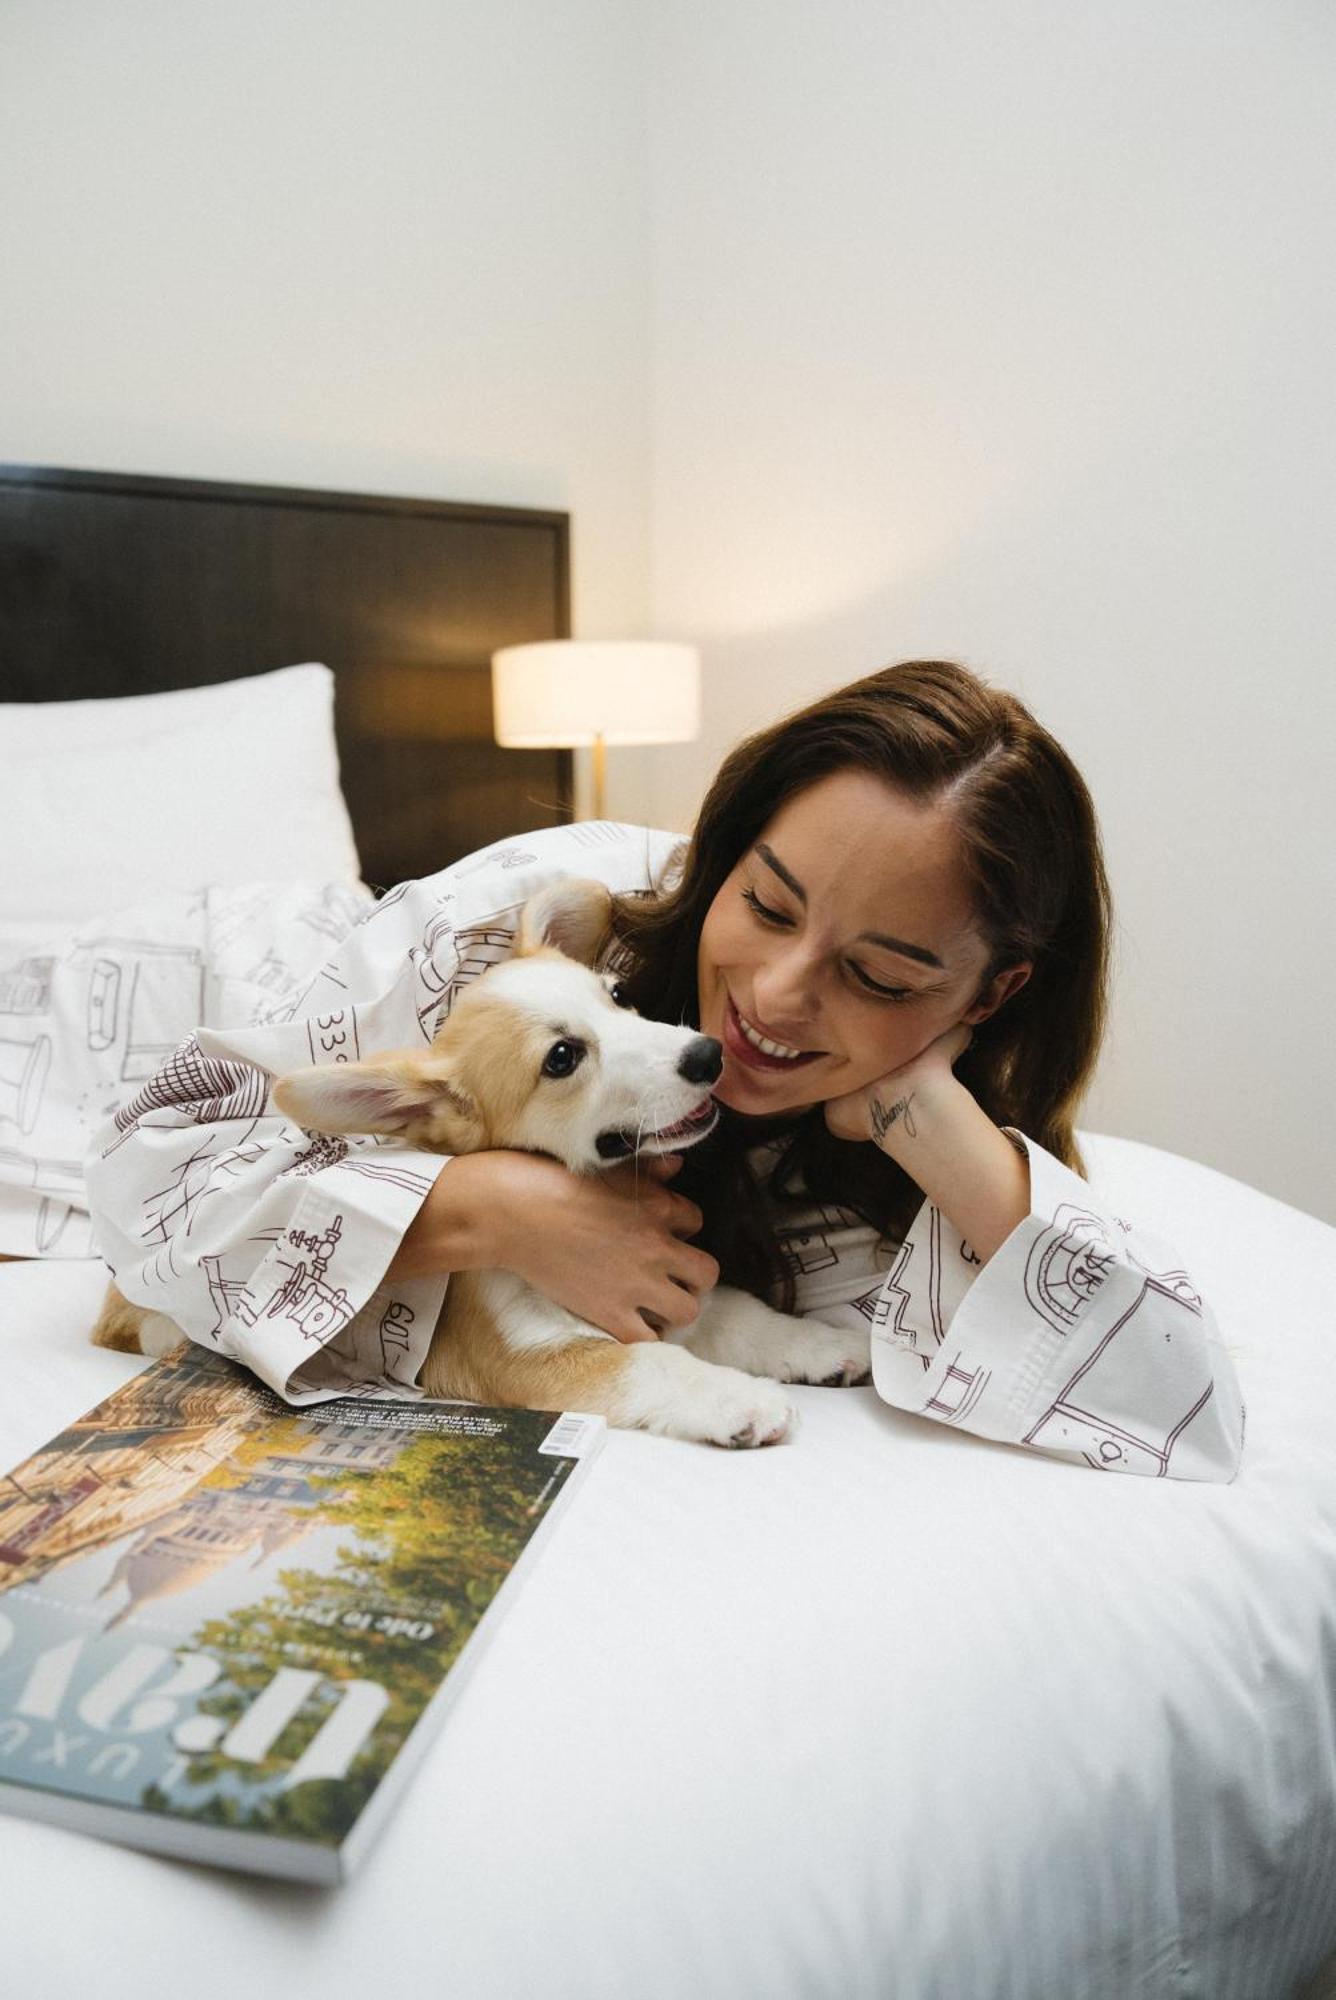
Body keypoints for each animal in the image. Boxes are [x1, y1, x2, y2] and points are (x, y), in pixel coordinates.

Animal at [91, 884, 868, 1448]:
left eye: (618, 996)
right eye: (563, 1058)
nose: (707, 1056)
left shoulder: (674, 1299)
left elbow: (746, 1318)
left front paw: (824, 1345)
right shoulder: (528, 1356)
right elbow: (652, 1363)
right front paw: (740, 1399)